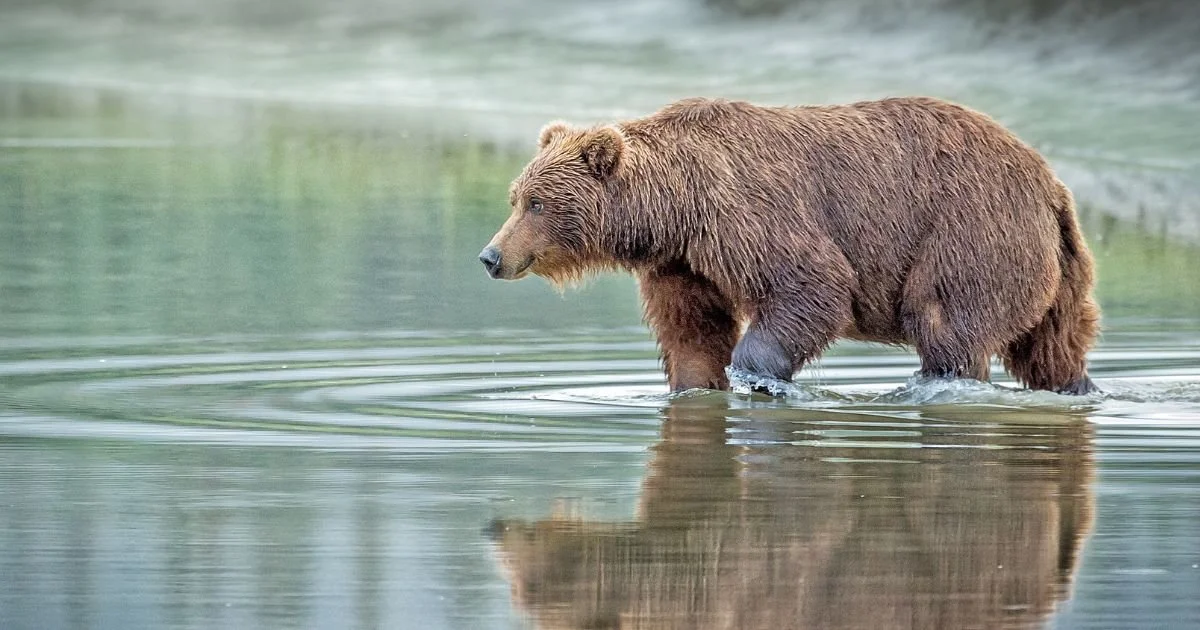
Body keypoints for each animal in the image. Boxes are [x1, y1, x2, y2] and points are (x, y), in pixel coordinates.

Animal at [478, 96, 1100, 395]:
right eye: (516, 197)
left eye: (536, 203)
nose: (491, 256)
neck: (675, 208)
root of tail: (1052, 185)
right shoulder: (684, 262)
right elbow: (691, 328)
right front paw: (693, 385)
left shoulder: (746, 213)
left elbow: (811, 284)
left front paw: (754, 374)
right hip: (1055, 268)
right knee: (1052, 347)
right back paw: (1077, 387)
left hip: (968, 231)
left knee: (946, 320)